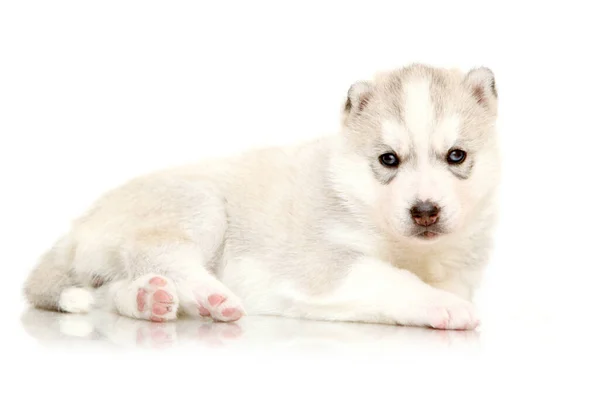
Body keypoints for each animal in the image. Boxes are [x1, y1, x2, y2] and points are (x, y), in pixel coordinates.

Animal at [23, 64, 500, 330]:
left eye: (456, 155)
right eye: (388, 159)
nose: (425, 212)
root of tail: (77, 225)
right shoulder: (323, 264)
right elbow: (393, 280)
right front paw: (443, 306)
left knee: (111, 293)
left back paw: (149, 299)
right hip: (201, 205)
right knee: (155, 251)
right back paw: (208, 294)